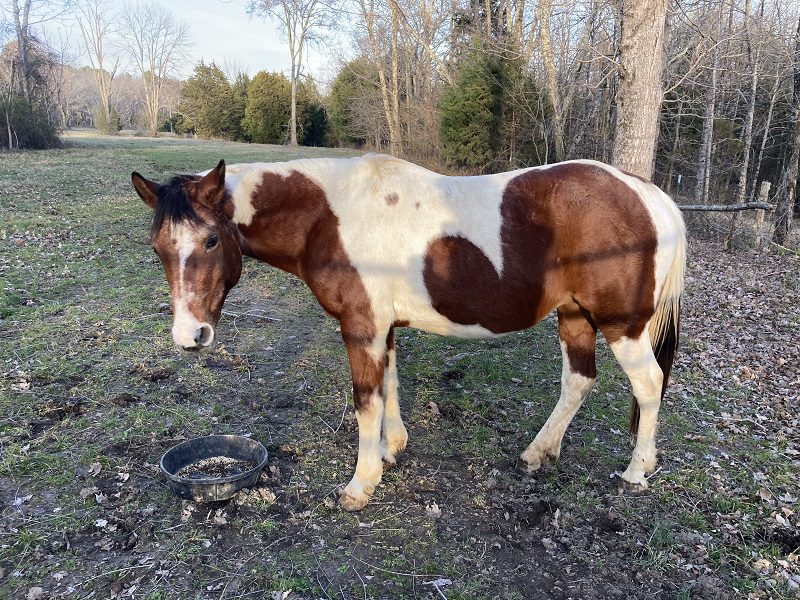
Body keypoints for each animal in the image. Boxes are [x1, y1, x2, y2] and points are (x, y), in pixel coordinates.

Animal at [132, 154, 686, 511]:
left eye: (210, 240)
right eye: (159, 247)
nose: (190, 335)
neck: (327, 217)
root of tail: (650, 195)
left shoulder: (361, 327)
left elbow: (366, 401)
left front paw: (361, 484)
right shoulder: (384, 327)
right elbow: (390, 386)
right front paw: (391, 449)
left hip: (621, 325)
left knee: (649, 385)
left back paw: (637, 471)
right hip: (574, 315)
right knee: (579, 381)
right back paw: (538, 453)